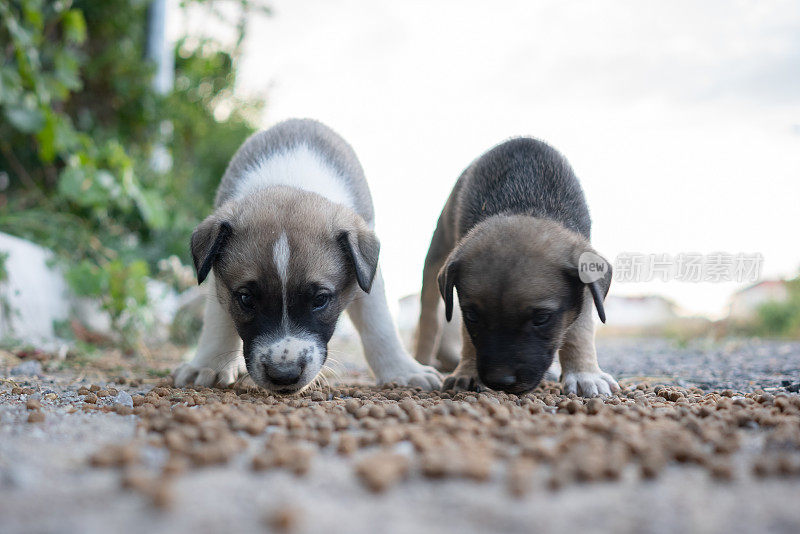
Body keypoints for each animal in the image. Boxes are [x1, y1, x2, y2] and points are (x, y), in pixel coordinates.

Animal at [173, 119, 444, 394]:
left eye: (320, 299)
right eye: (246, 299)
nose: (284, 375)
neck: (292, 180)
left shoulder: (368, 275)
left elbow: (379, 325)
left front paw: (402, 370)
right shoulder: (220, 280)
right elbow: (218, 322)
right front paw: (207, 365)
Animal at [412, 138, 620, 398]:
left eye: (541, 318)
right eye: (472, 316)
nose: (500, 381)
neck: (523, 204)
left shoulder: (585, 286)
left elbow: (579, 331)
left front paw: (584, 373)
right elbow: (467, 336)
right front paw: (467, 372)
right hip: (436, 253)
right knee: (429, 317)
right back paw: (420, 363)